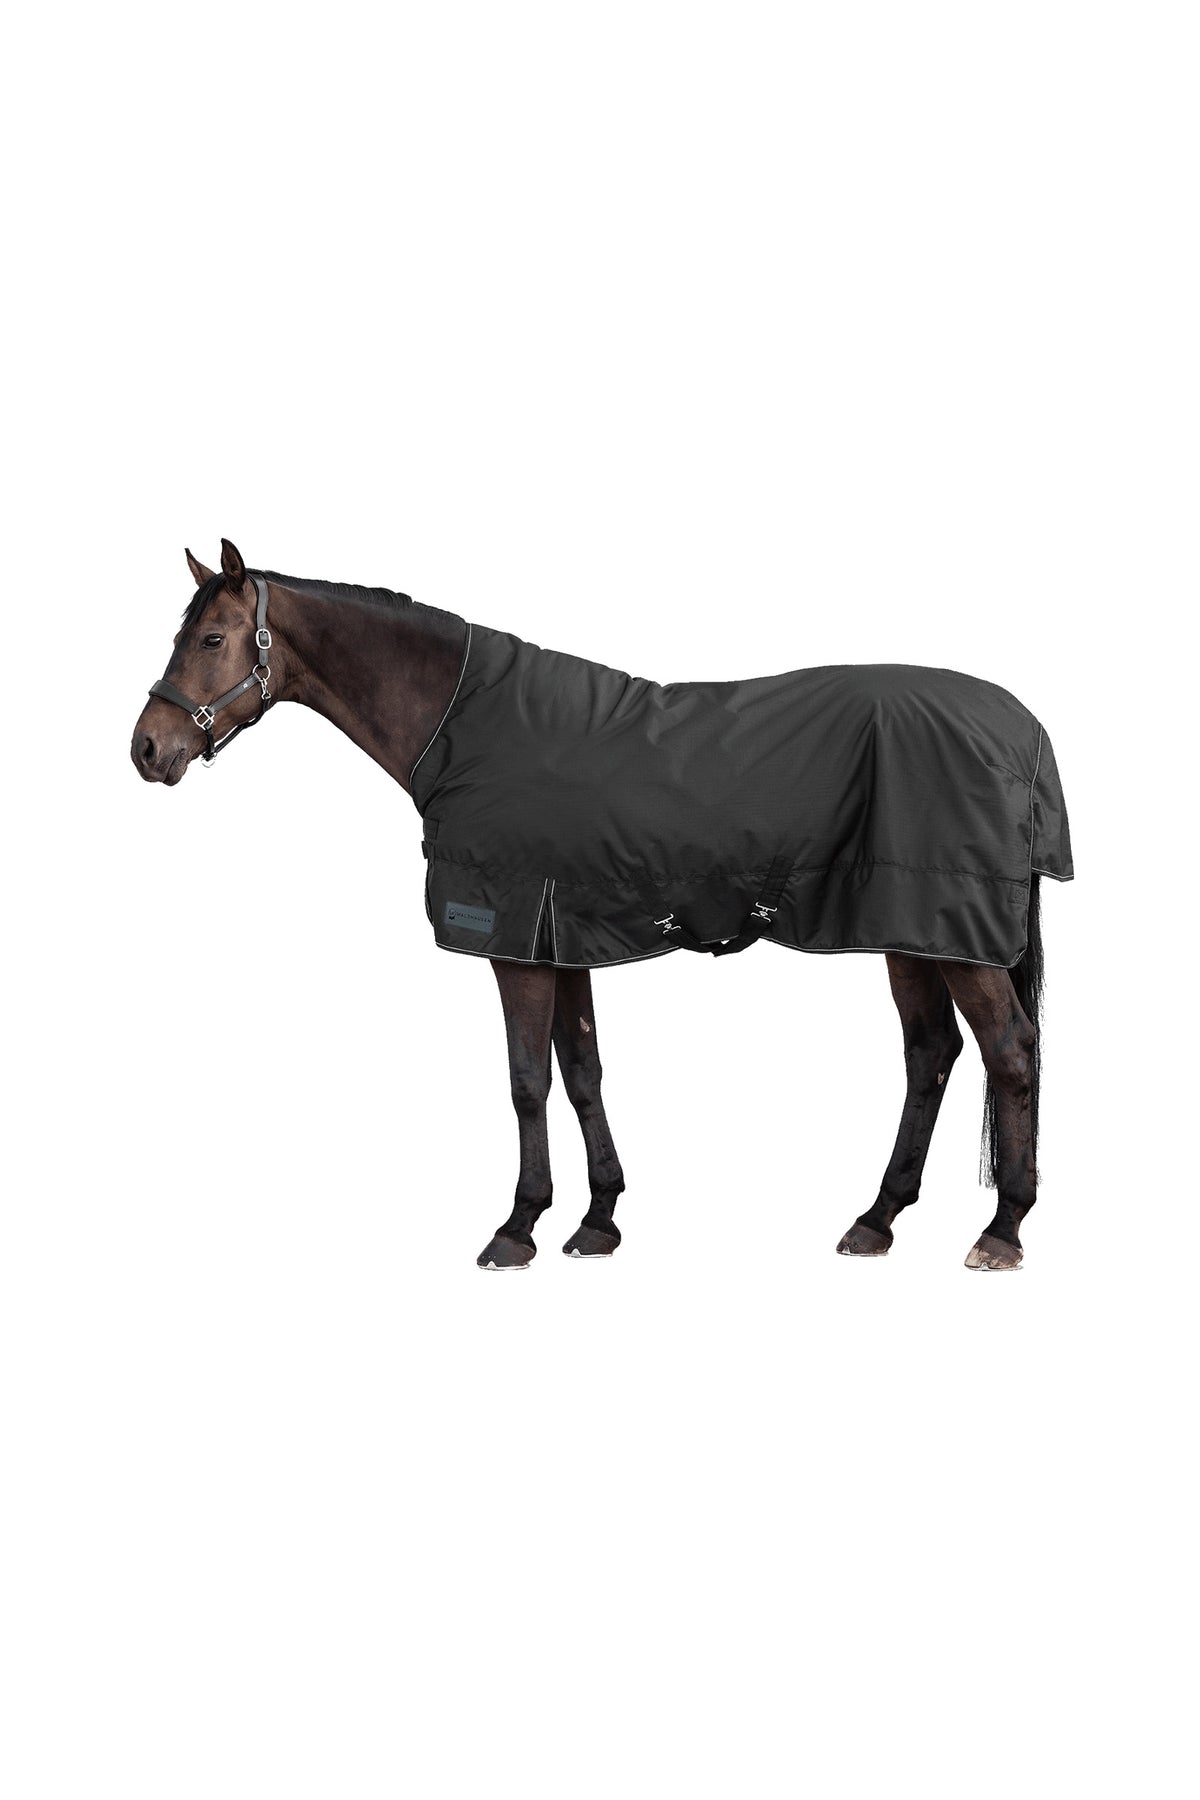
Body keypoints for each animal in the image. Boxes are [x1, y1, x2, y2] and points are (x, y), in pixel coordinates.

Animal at [131, 539, 1072, 1273]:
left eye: (211, 638)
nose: (147, 748)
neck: (464, 726)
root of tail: (1021, 728)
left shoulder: (515, 939)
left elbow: (527, 1081)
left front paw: (516, 1227)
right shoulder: (565, 934)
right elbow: (581, 1072)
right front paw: (597, 1220)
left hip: (953, 937)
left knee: (1011, 1054)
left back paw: (1002, 1230)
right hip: (910, 929)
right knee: (931, 1055)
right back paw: (876, 1219)